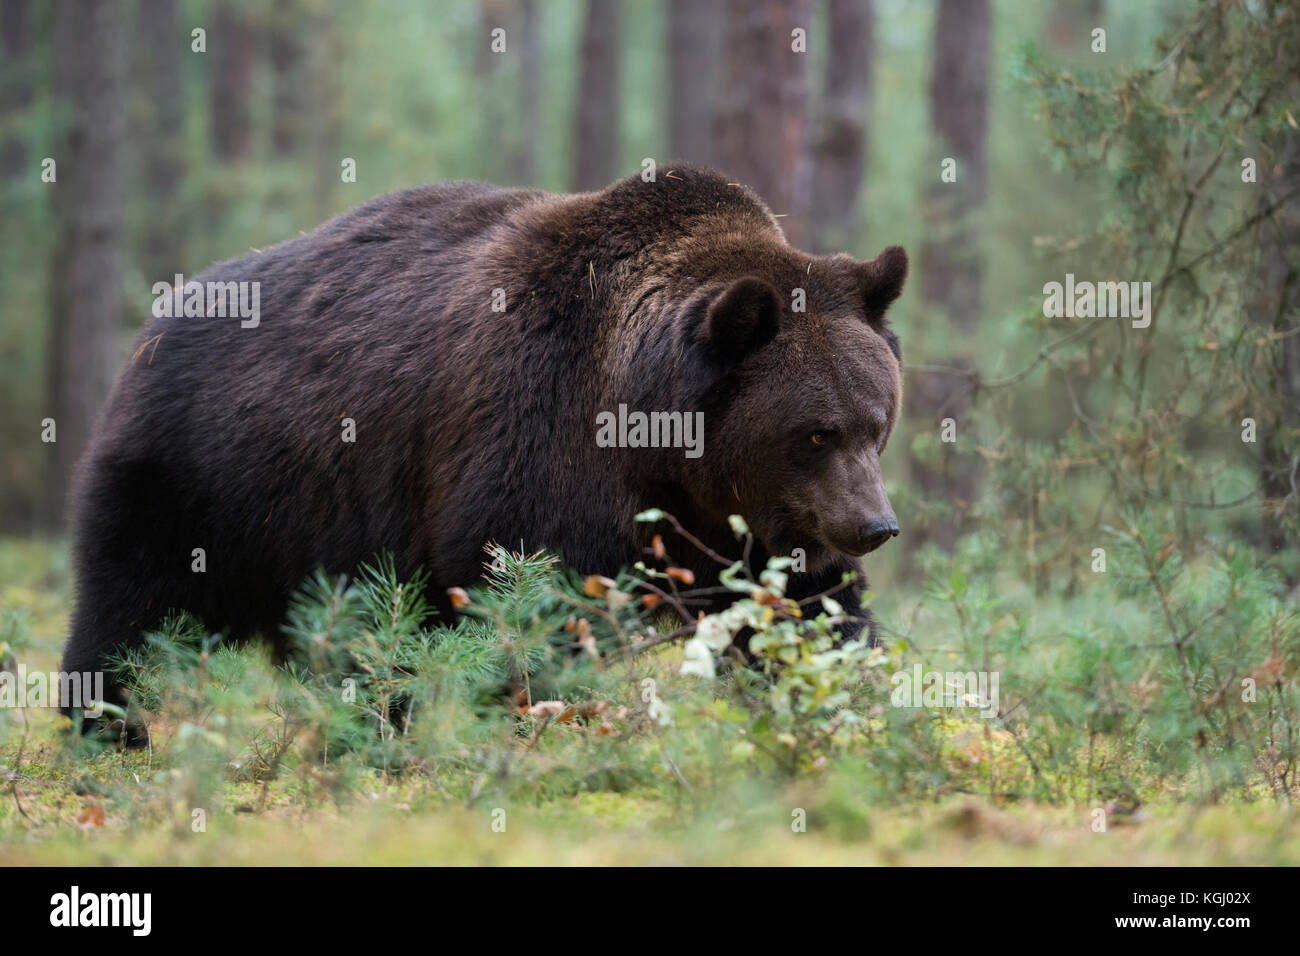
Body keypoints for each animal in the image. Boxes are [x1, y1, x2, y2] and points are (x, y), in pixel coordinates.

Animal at [61, 164, 904, 712]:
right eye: (815, 433)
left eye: (876, 423)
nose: (876, 525)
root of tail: (161, 316)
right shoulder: (535, 438)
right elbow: (525, 595)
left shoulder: (756, 528)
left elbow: (809, 609)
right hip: (197, 476)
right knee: (128, 605)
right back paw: (105, 722)